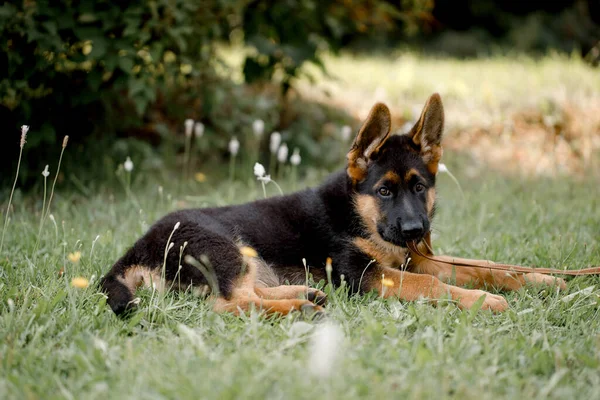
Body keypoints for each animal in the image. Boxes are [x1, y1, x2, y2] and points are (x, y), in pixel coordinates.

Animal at [101, 93, 564, 316]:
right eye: (384, 191)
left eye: (419, 187)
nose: (416, 232)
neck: (357, 215)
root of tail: (135, 249)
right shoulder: (366, 274)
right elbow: (432, 286)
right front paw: (483, 301)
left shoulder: (415, 260)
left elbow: (486, 267)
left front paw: (543, 280)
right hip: (223, 246)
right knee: (228, 304)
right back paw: (298, 308)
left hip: (244, 256)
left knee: (244, 293)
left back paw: (305, 294)